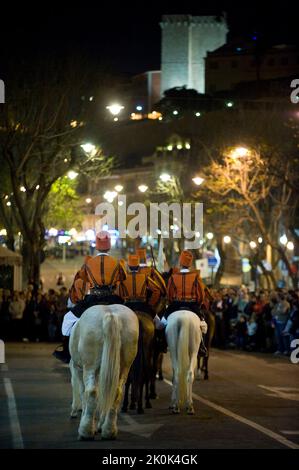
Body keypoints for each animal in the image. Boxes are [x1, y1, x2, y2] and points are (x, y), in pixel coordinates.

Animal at [69, 304, 140, 440]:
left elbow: (82, 393)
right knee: (116, 392)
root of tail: (111, 314)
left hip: (89, 367)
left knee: (91, 392)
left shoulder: (78, 369)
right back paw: (109, 430)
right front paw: (99, 424)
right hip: (123, 367)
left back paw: (85, 431)